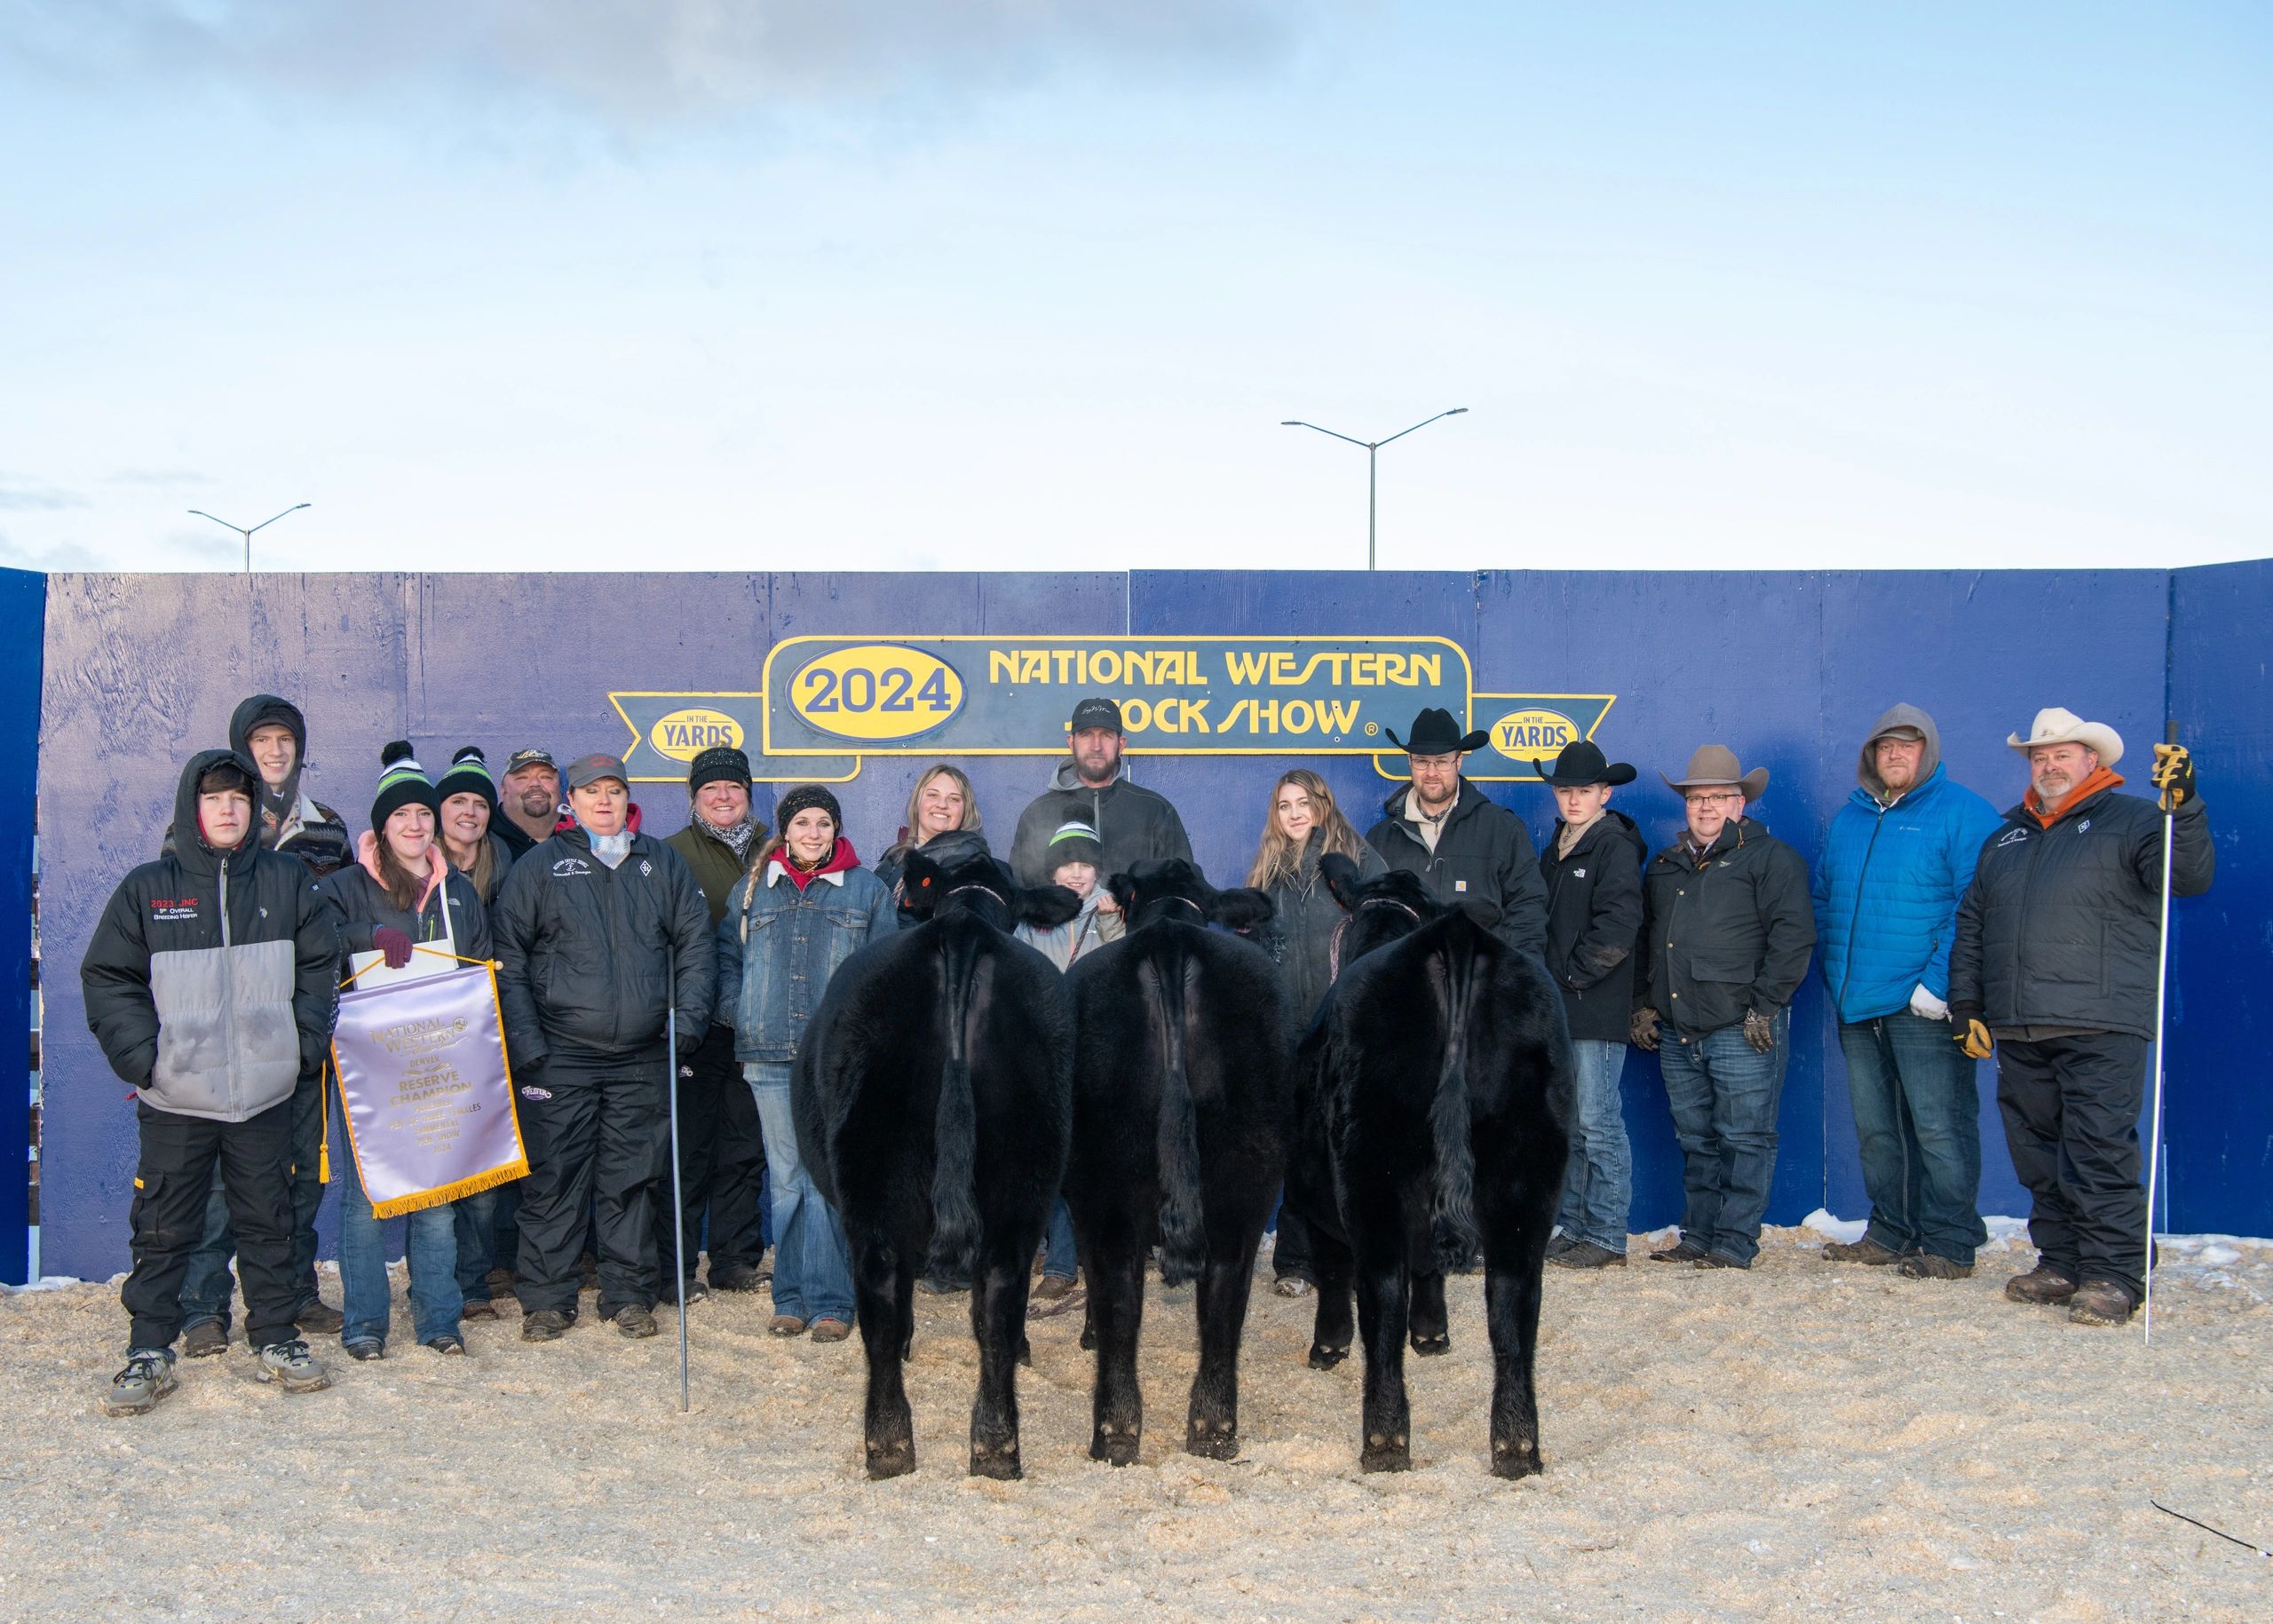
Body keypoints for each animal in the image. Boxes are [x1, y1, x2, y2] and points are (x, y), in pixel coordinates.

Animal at [790, 841, 1081, 1473]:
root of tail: (962, 931)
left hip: (874, 1169)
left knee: (881, 1291)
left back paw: (890, 1443)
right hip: (1022, 1171)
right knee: (1000, 1292)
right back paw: (994, 1446)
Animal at [1058, 855, 1291, 1464]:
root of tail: (1170, 939)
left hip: (1105, 1181)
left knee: (1119, 1289)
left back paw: (1115, 1433)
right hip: (1245, 1178)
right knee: (1225, 1293)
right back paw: (1213, 1429)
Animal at [1291, 855, 1572, 1473]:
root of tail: (1455, 935)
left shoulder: (1313, 1195)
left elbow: (1334, 1270)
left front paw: (1329, 1345)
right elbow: (1432, 1266)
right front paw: (1434, 1334)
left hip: (1367, 1171)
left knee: (1381, 1290)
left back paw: (1385, 1440)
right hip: (1529, 1170)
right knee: (1514, 1300)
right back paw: (1516, 1445)